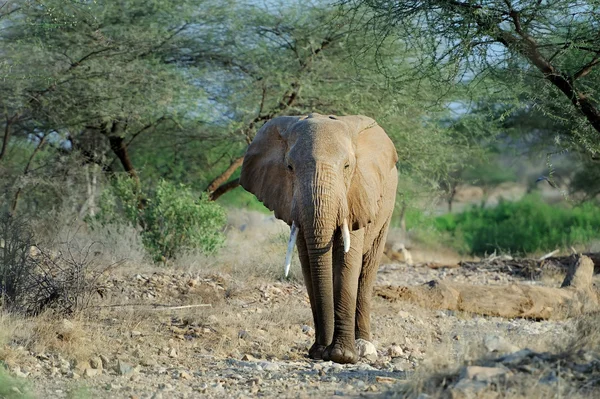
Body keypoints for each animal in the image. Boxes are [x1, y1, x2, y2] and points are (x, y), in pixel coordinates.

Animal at [239, 113, 398, 366]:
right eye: (289, 167)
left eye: (347, 167)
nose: (323, 350)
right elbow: (308, 263)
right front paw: (320, 352)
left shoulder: (356, 194)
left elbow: (347, 261)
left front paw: (342, 356)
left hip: (386, 209)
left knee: (367, 272)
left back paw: (365, 348)